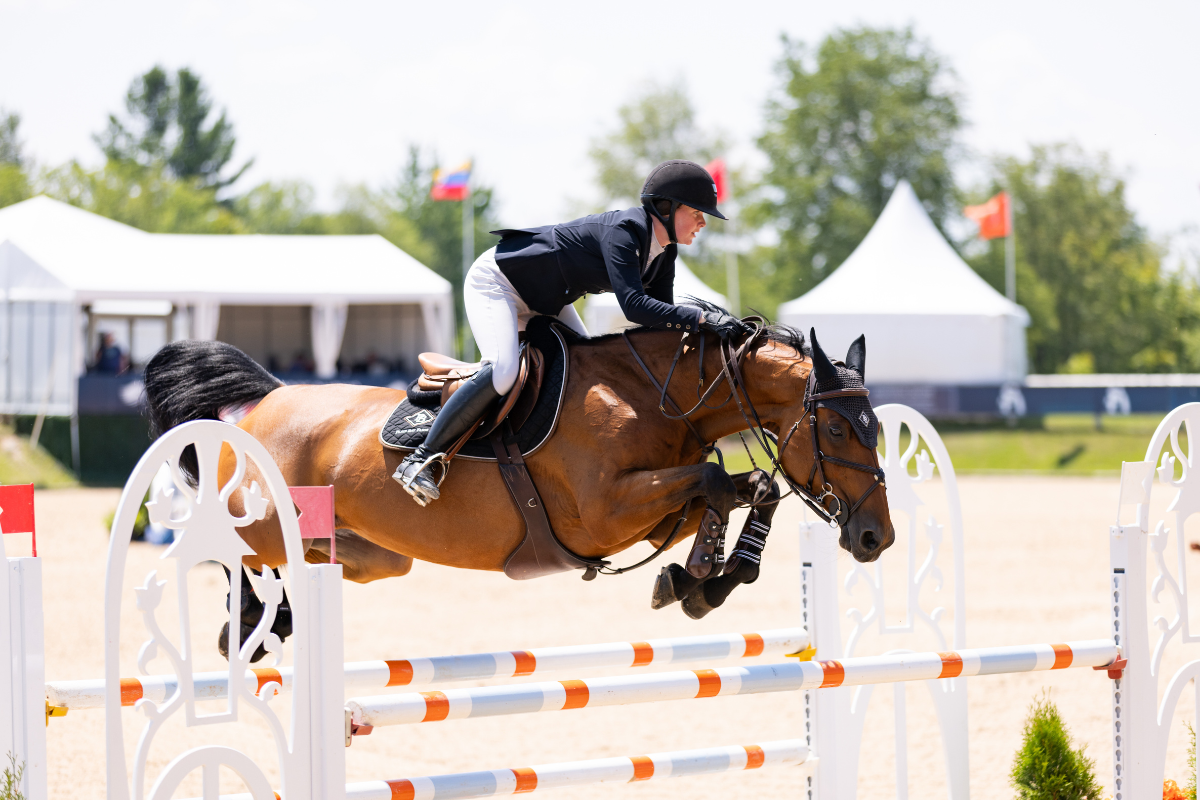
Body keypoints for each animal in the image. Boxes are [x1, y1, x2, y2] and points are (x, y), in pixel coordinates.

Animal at [143, 307, 895, 653]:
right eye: (835, 432)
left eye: (876, 431)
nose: (876, 538)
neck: (654, 395)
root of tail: (266, 399)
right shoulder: (601, 511)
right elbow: (714, 479)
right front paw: (703, 576)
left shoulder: (644, 508)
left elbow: (744, 488)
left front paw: (702, 580)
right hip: (265, 520)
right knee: (228, 552)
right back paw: (247, 626)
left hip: (379, 556)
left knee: (321, 562)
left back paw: (276, 617)